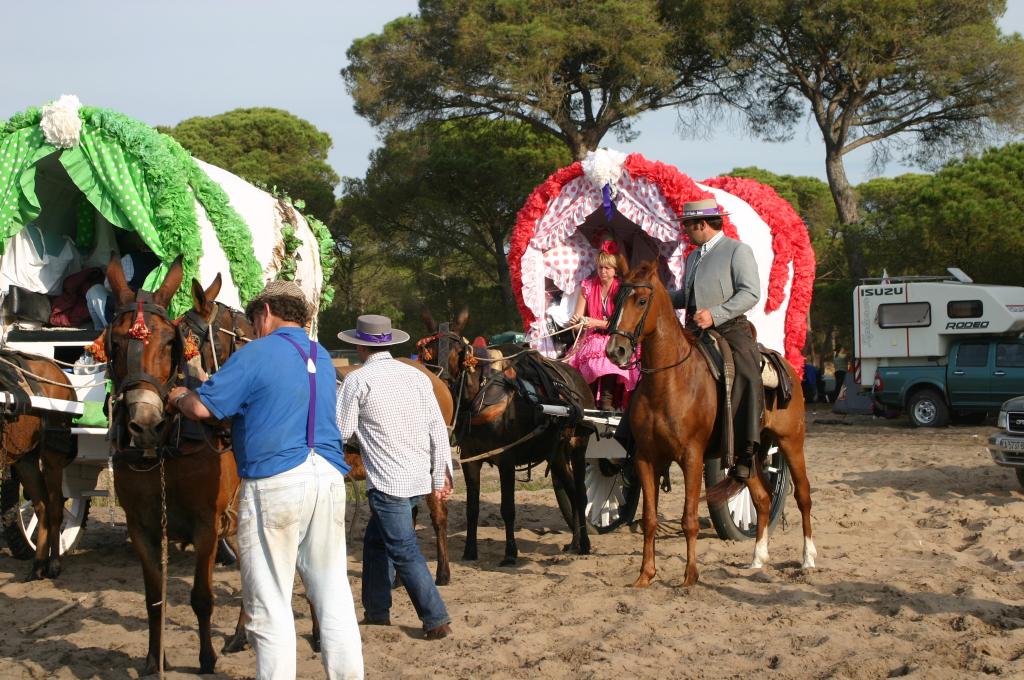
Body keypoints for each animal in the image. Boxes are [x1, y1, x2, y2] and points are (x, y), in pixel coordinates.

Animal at [0, 350, 75, 577]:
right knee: (42, 507)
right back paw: (39, 563)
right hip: (25, 460)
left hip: (52, 457)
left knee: (55, 506)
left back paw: (54, 563)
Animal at [104, 256, 240, 675]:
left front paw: (207, 659)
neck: (169, 447)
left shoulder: (207, 526)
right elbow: (154, 599)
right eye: (115, 343)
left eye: (170, 342)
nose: (145, 423)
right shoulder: (142, 527)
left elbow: (202, 597)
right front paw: (154, 659)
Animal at [415, 311, 593, 565]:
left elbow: (508, 508)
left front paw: (510, 552)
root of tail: (577, 377)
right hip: (557, 453)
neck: (482, 397)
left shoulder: (506, 460)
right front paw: (470, 550)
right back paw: (575, 542)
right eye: (427, 352)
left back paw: (585, 543)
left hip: (578, 446)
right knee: (569, 491)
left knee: (580, 493)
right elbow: (472, 509)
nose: (441, 388)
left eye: (459, 352)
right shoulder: (471, 460)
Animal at [602, 261, 811, 589]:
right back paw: (757, 559)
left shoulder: (692, 457)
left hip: (791, 442)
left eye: (641, 300)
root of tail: (787, 365)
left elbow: (689, 519)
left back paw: (808, 559)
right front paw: (645, 574)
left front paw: (690, 576)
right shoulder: (646, 459)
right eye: (616, 299)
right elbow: (649, 518)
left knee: (803, 495)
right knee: (763, 499)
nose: (615, 350)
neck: (670, 381)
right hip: (747, 453)